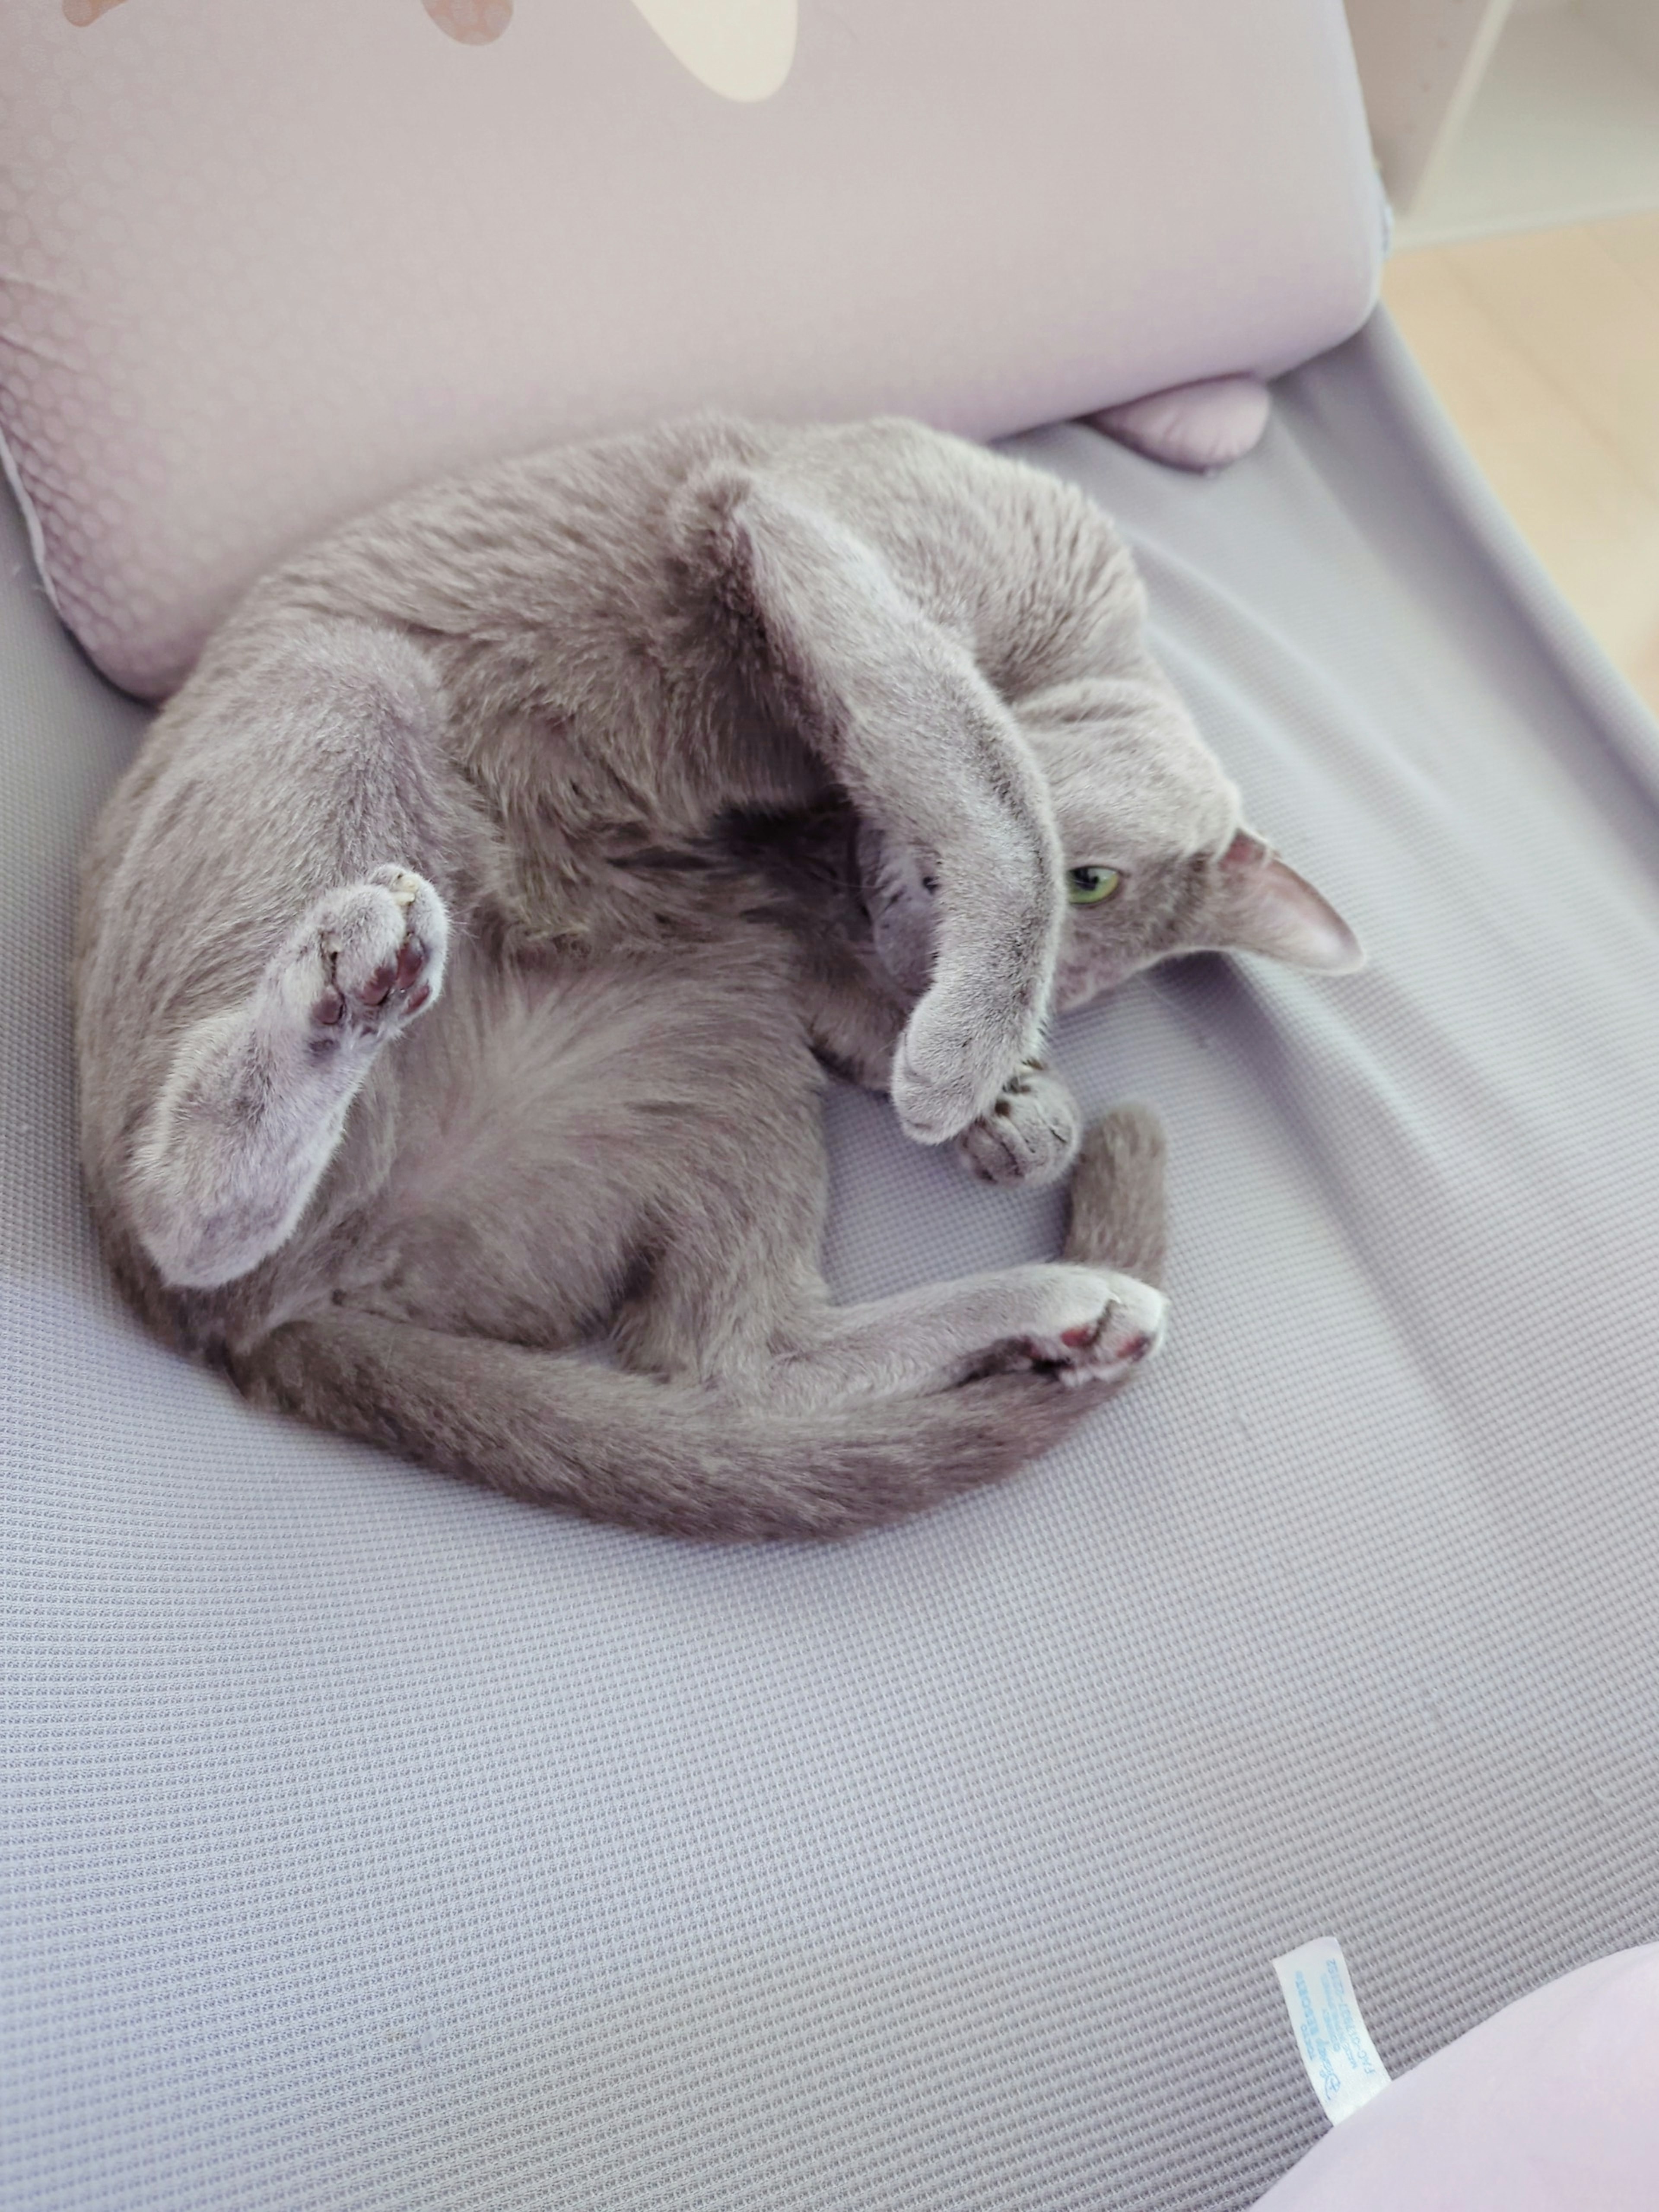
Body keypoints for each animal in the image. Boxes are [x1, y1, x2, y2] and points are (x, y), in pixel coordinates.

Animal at [74, 422, 1362, 1548]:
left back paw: (1072, 1319)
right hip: (353, 681)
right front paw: (973, 1061)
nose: (917, 951)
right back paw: (341, 991)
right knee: (184, 1213)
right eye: (1093, 884)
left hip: (713, 1020)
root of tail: (276, 1316)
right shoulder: (808, 535)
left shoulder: (775, 909)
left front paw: (1007, 1103)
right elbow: (992, 776)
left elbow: (851, 978)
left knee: (730, 1364)